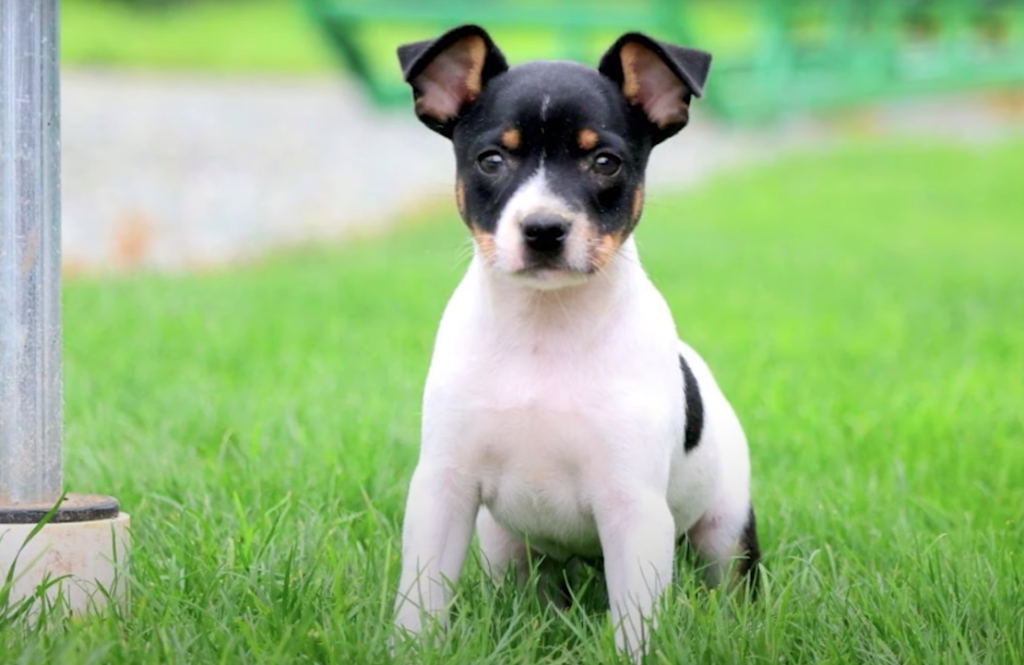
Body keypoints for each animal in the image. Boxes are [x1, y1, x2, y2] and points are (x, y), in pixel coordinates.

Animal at [391, 24, 761, 659]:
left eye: (604, 162)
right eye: (491, 160)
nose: (543, 229)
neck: (545, 328)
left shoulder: (633, 509)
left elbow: (635, 622)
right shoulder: (443, 488)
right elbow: (419, 600)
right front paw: (407, 650)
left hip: (725, 531)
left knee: (729, 583)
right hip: (501, 544)